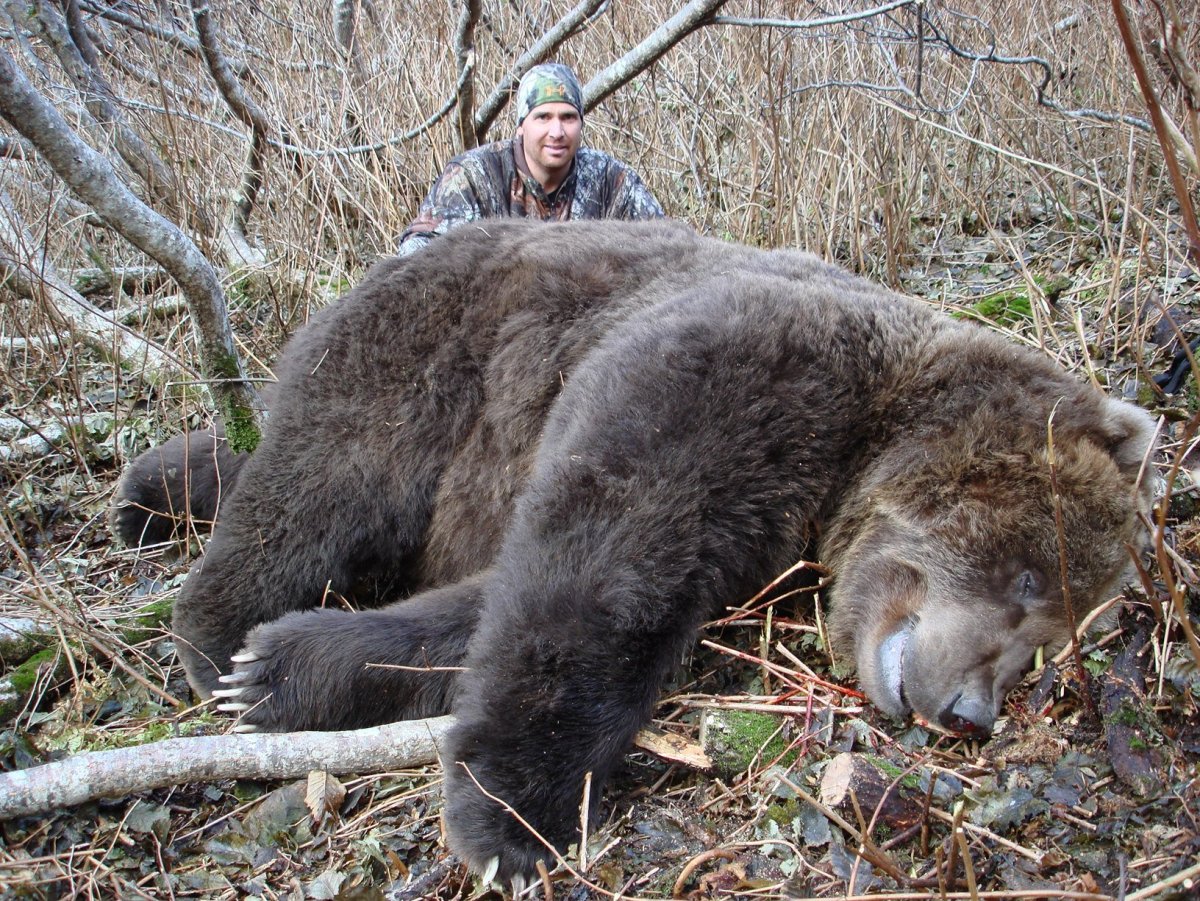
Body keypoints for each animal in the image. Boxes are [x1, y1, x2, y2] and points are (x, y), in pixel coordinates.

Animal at [114, 219, 1156, 883]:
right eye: (1030, 575)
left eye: (1047, 645)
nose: (971, 710)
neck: (859, 439)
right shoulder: (735, 367)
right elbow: (605, 557)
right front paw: (510, 816)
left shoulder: (758, 531)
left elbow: (499, 596)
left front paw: (296, 664)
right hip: (425, 350)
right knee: (326, 469)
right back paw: (215, 628)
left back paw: (156, 498)